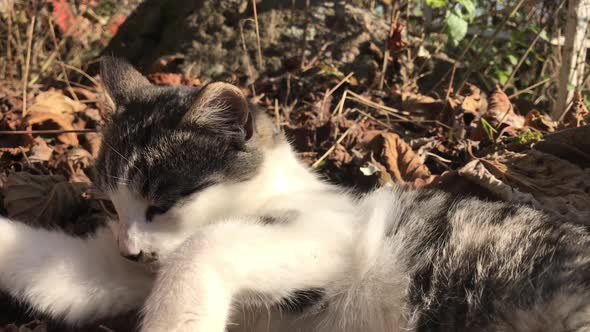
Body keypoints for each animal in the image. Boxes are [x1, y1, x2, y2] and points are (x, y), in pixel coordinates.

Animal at [1, 57, 590, 332]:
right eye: (110, 203)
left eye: (161, 205)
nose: (130, 249)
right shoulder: (115, 275)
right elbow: (57, 273)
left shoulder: (329, 238)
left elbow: (203, 248)